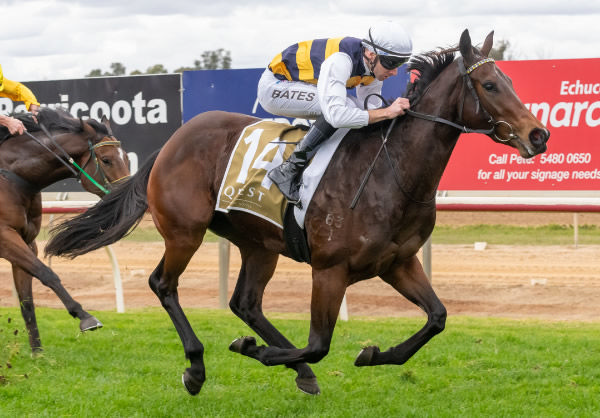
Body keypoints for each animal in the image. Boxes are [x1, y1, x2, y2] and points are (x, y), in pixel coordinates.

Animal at [0, 108, 129, 352]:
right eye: (106, 160)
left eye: (126, 157)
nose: (127, 194)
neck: (12, 175)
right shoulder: (5, 237)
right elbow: (46, 273)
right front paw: (85, 316)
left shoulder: (26, 240)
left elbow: (27, 300)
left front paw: (37, 352)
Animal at [45, 31, 548, 396]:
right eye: (489, 85)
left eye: (510, 82)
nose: (539, 135)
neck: (392, 170)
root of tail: (173, 141)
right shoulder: (330, 269)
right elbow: (320, 344)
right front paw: (262, 353)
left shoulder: (398, 262)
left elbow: (437, 318)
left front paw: (371, 354)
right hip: (185, 231)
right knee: (163, 284)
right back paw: (197, 367)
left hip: (258, 242)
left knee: (245, 302)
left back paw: (290, 368)